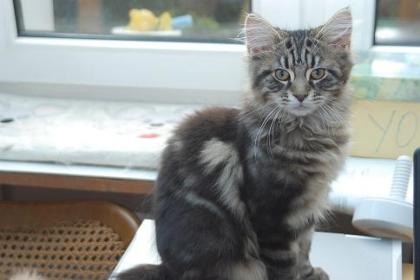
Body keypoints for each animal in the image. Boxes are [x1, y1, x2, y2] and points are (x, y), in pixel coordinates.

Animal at [116, 6, 352, 280]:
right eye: (282, 74)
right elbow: (285, 265)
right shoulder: (272, 216)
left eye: (317, 73)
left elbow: (304, 250)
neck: (306, 131)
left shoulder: (307, 210)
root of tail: (166, 268)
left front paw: (309, 274)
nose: (301, 95)